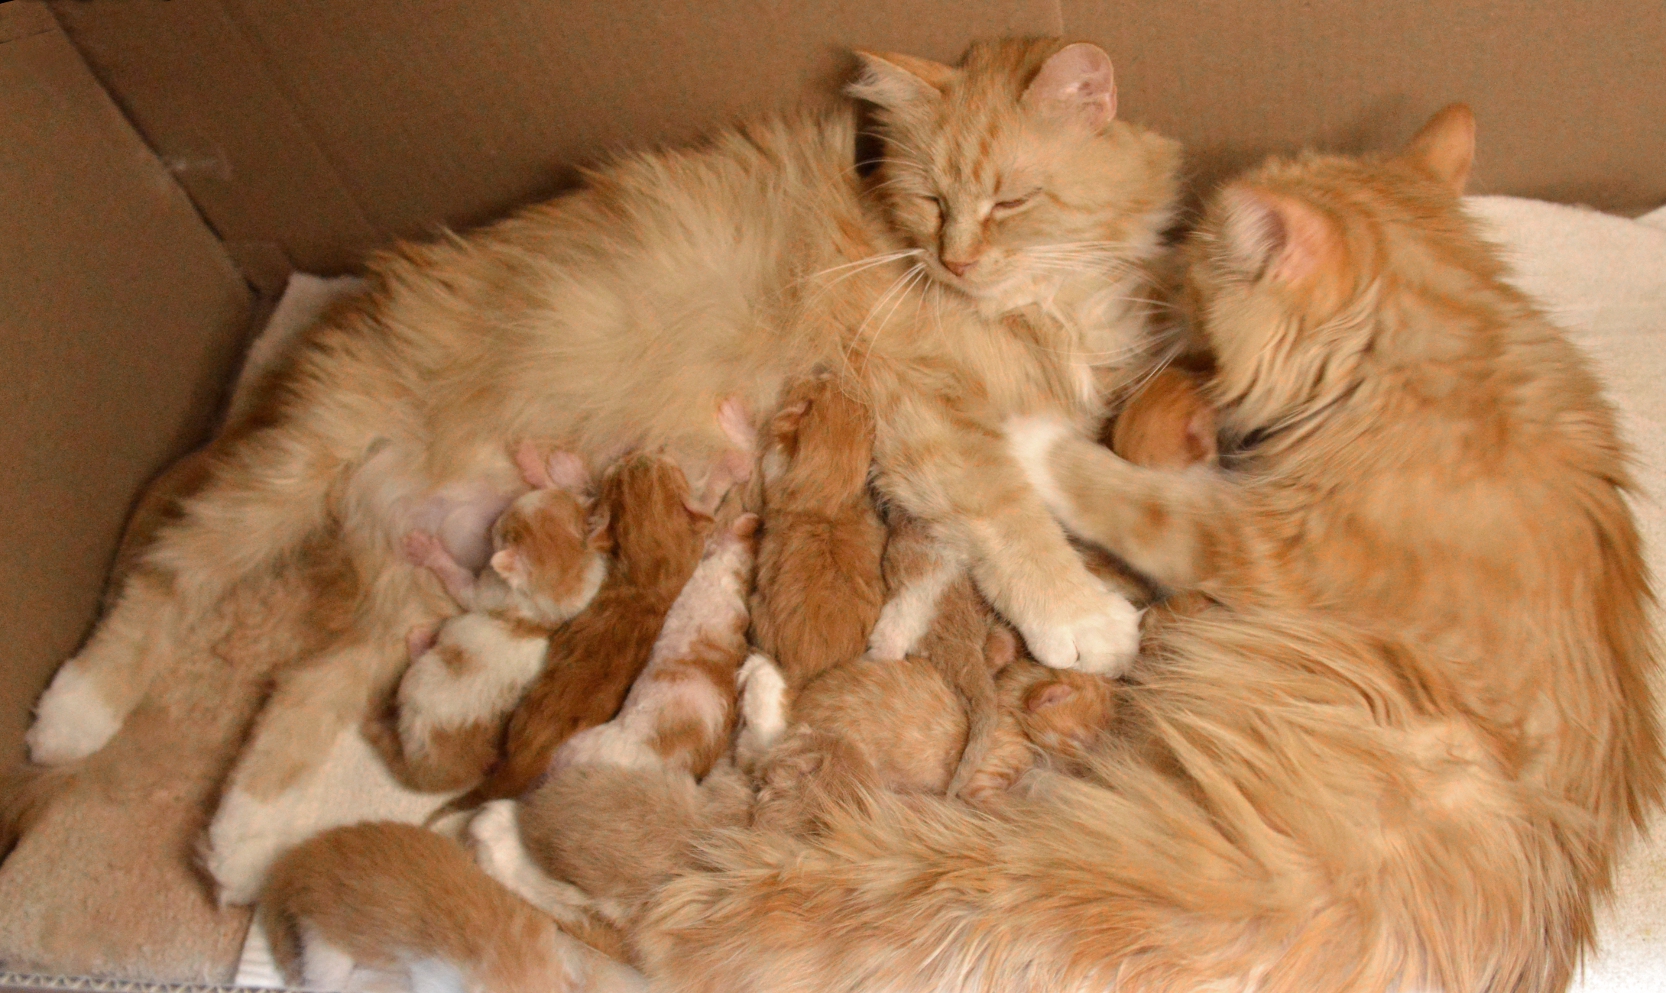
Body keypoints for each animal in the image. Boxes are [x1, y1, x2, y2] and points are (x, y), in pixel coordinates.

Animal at [371, 443, 613, 789]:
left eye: (500, 532)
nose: (491, 523)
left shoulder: (484, 592)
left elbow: (459, 581)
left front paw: (428, 551)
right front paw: (542, 467)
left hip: (418, 688)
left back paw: (420, 641)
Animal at [626, 106, 1666, 993]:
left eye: (1204, 279)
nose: (1182, 304)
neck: (1456, 345)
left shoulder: (1251, 538)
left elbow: (1116, 489)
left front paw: (1041, 443)